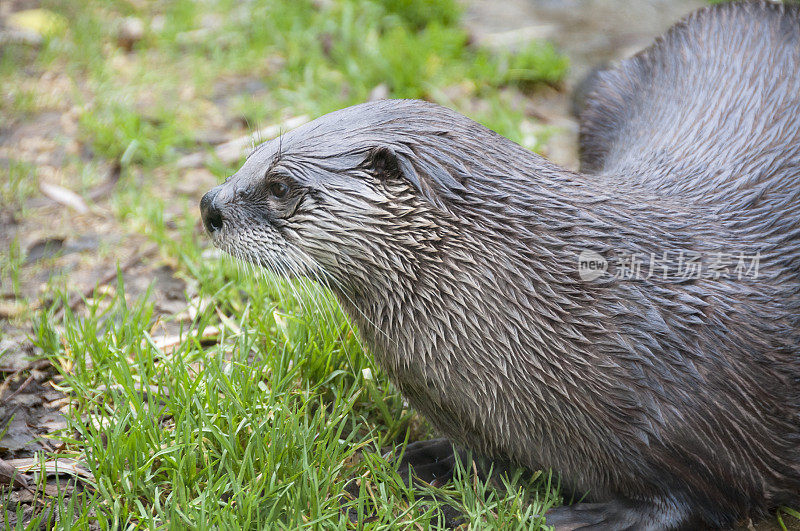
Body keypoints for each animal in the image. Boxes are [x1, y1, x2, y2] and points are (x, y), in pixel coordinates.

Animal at [202, 2, 800, 528]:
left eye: (281, 186)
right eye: (250, 156)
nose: (209, 206)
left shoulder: (706, 433)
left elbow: (693, 504)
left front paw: (576, 519)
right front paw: (422, 460)